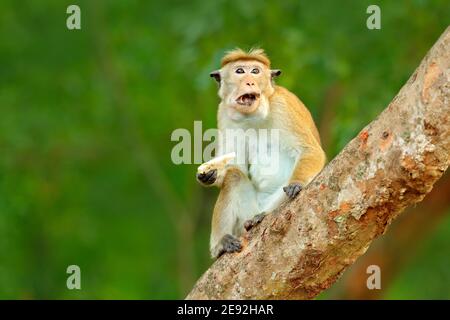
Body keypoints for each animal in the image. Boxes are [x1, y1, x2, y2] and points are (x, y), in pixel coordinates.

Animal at [195, 48, 326, 258]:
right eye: (240, 71)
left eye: (255, 71)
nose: (250, 82)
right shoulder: (224, 111)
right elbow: (235, 165)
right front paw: (210, 174)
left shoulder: (283, 105)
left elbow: (310, 151)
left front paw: (296, 183)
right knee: (233, 177)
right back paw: (221, 243)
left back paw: (260, 217)